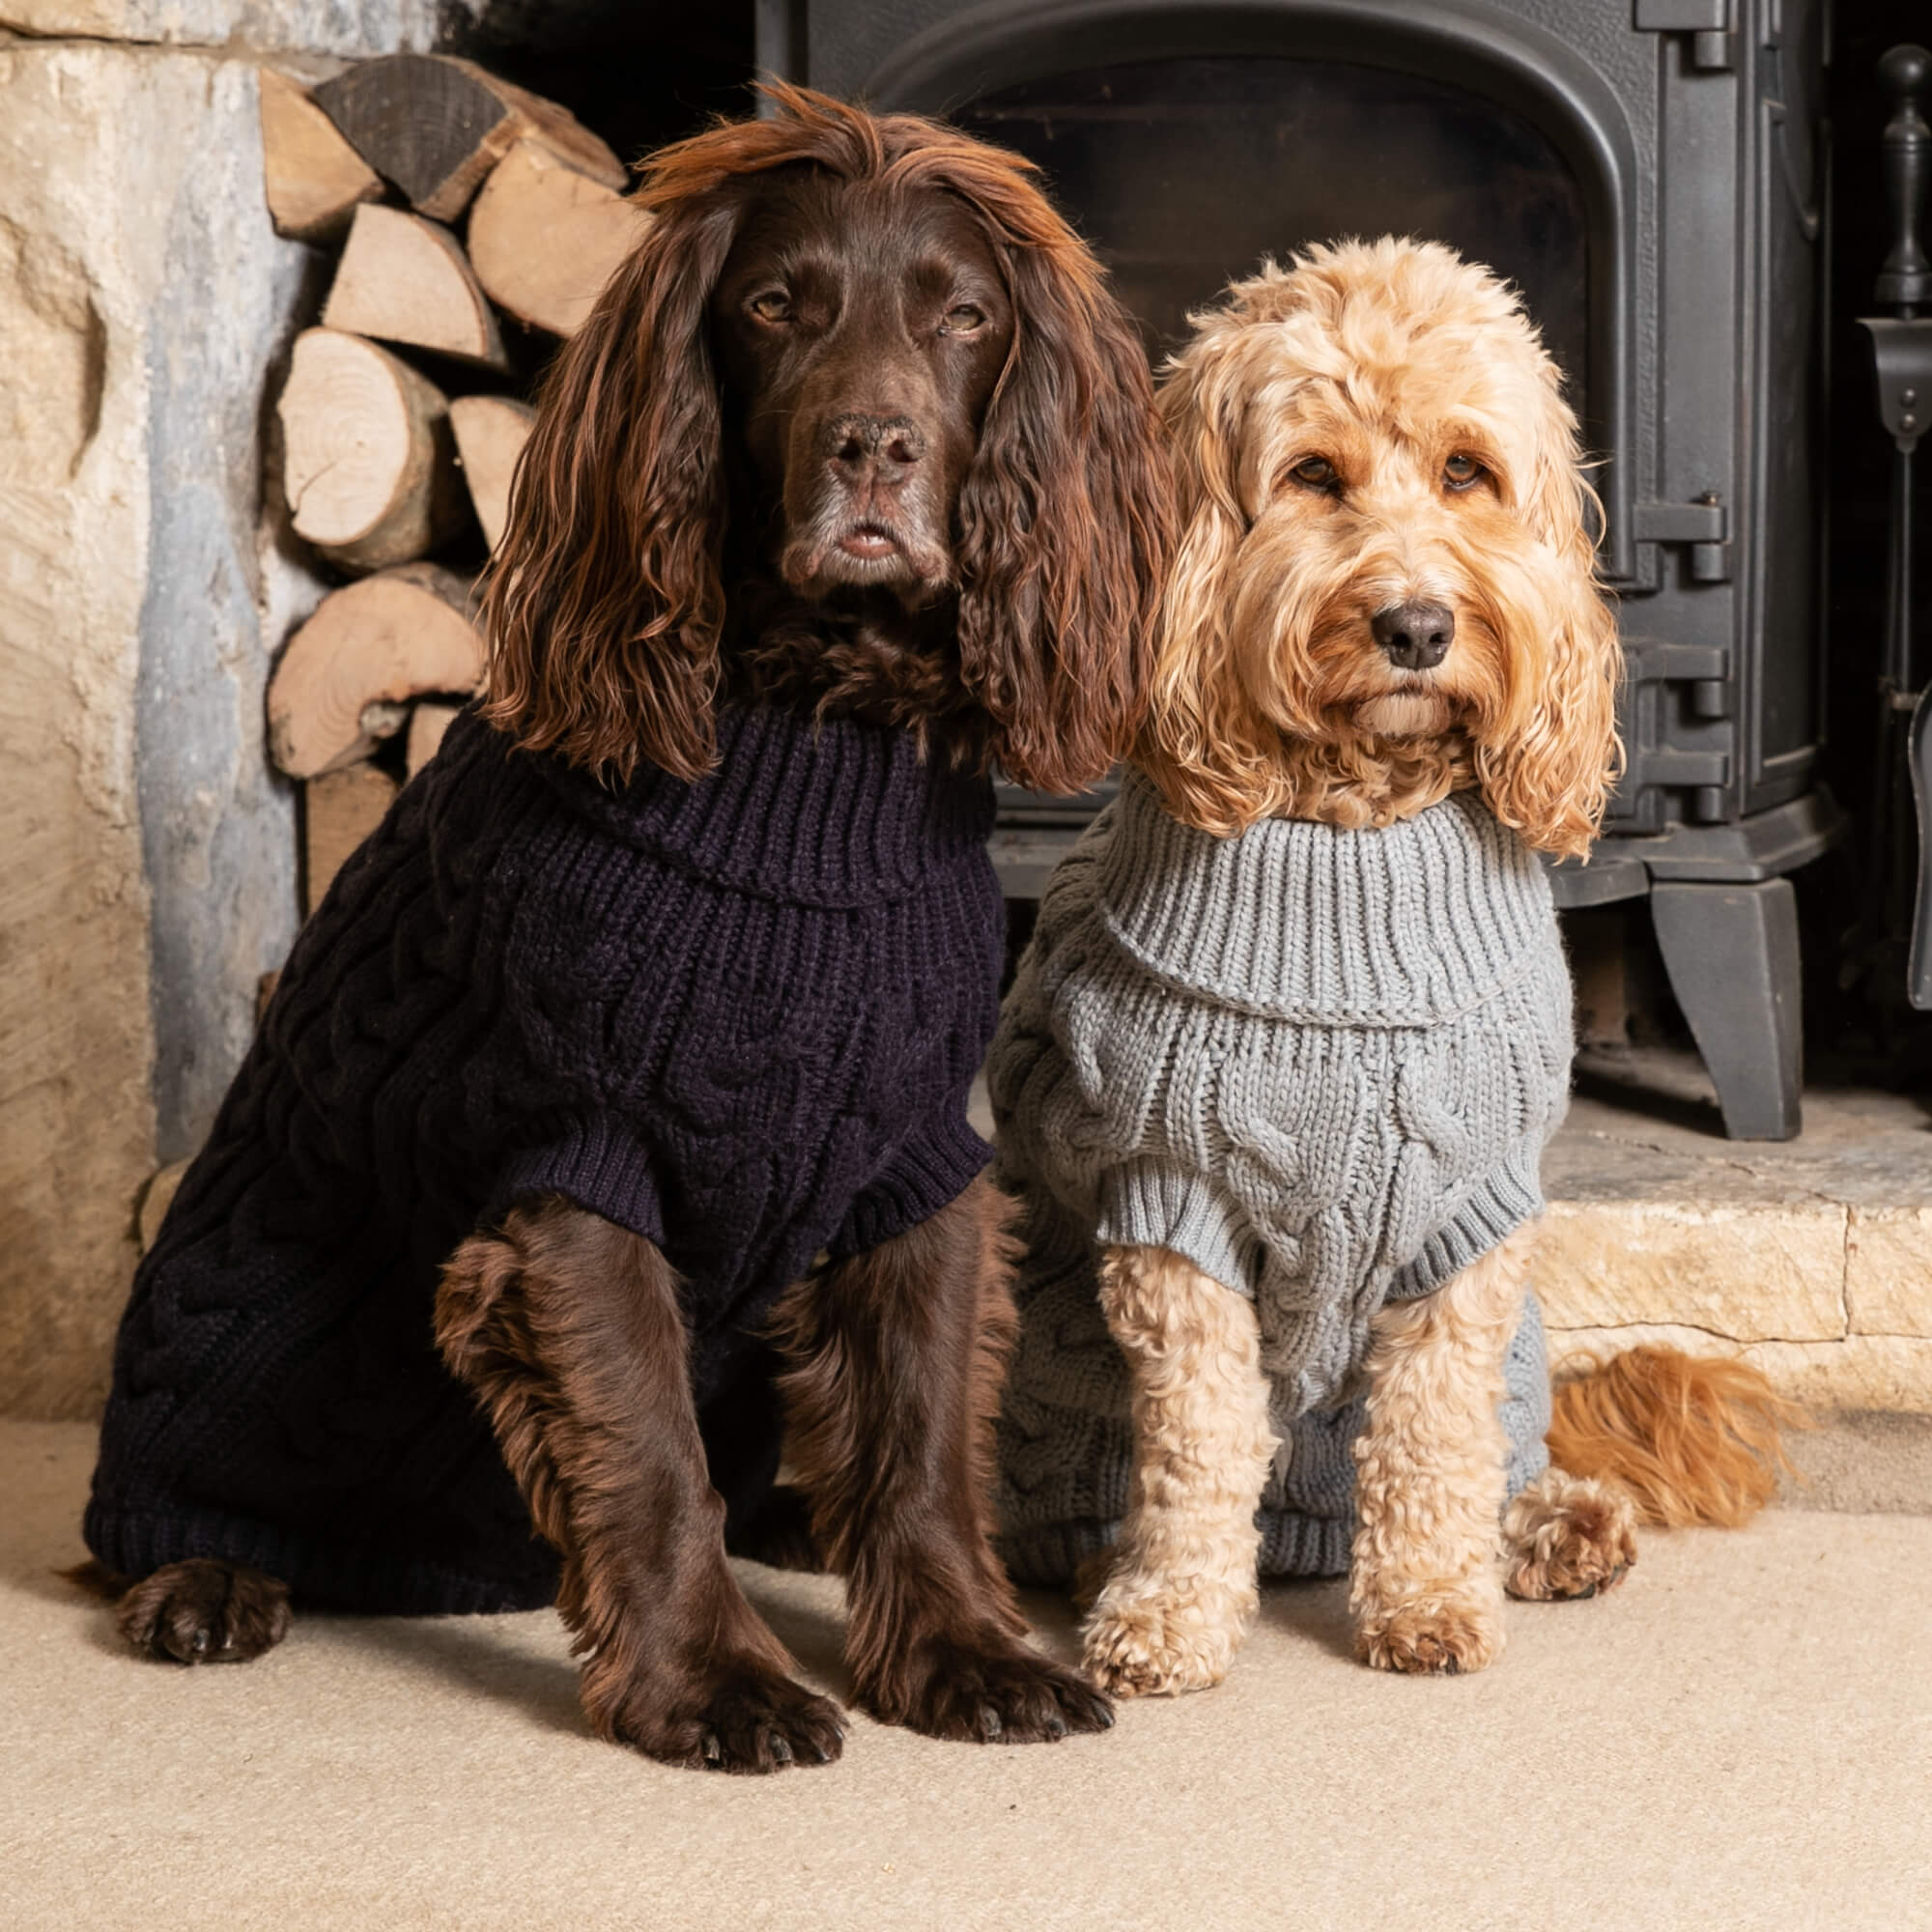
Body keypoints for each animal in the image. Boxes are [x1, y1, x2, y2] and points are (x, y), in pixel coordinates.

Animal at [1082, 238, 1801, 1692]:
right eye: (1312, 476)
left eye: (1467, 472)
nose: (1415, 625)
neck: (1354, 834)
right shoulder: (1169, 1204)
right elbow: (1194, 1441)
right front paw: (1166, 1614)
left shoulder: (1464, 1215)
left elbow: (1431, 1430)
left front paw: (1423, 1600)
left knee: (1505, 1448)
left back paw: (1552, 1528)